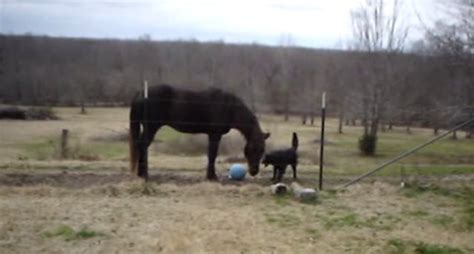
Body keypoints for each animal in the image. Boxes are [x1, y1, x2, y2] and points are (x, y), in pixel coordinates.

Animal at [130, 85, 270, 181]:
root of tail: (141, 93)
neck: (229, 106)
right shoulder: (214, 135)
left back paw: (142, 173)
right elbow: (212, 155)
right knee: (142, 145)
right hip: (151, 127)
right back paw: (144, 174)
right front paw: (212, 176)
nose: (254, 171)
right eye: (253, 149)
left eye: (262, 150)